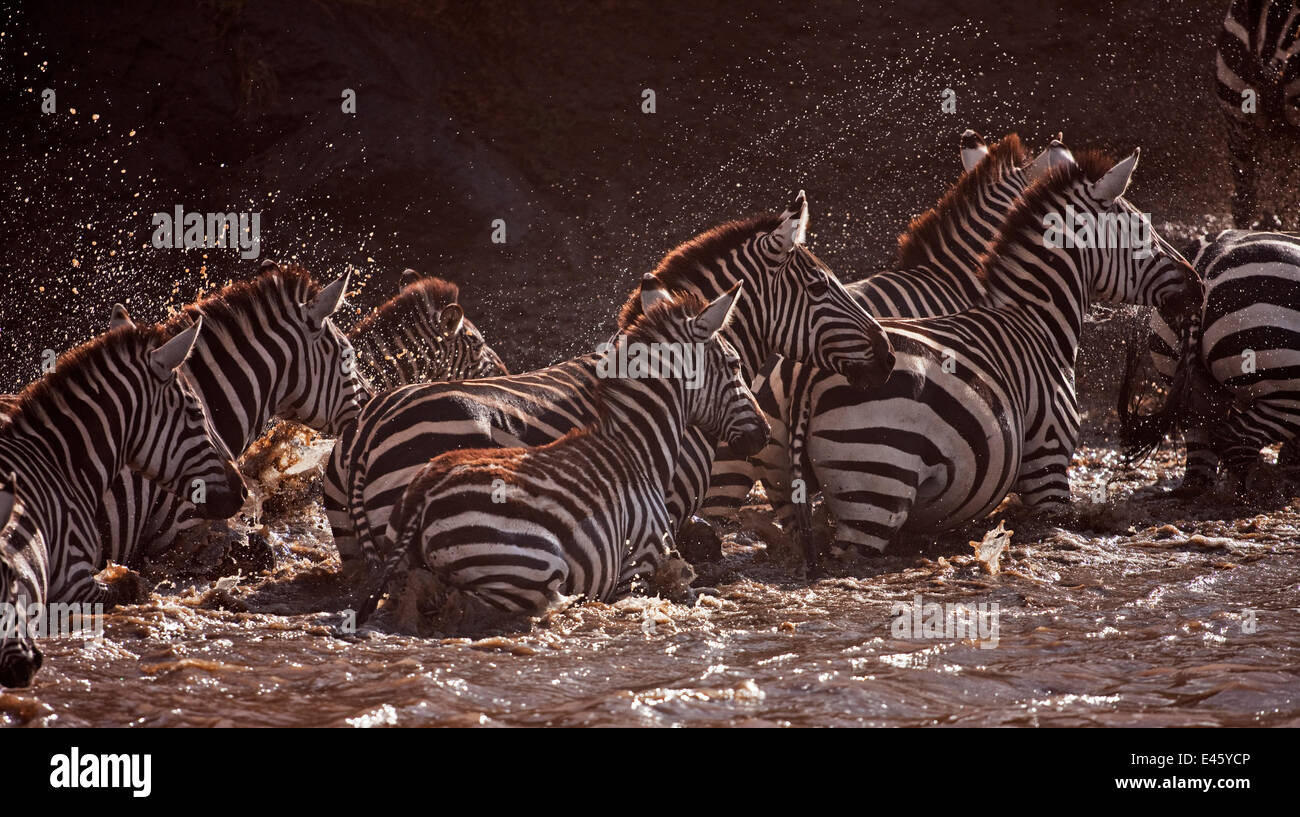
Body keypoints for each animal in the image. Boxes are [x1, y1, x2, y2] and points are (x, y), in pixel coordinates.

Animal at [774, 150, 1201, 562]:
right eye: (1142, 231)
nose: (1196, 283)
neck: (1035, 320)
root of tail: (809, 379)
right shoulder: (1048, 467)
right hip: (876, 483)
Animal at [1126, 229, 1300, 490]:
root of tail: (1205, 263)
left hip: (1188, 378)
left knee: (1200, 452)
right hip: (1284, 382)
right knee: (1234, 440)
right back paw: (1265, 489)